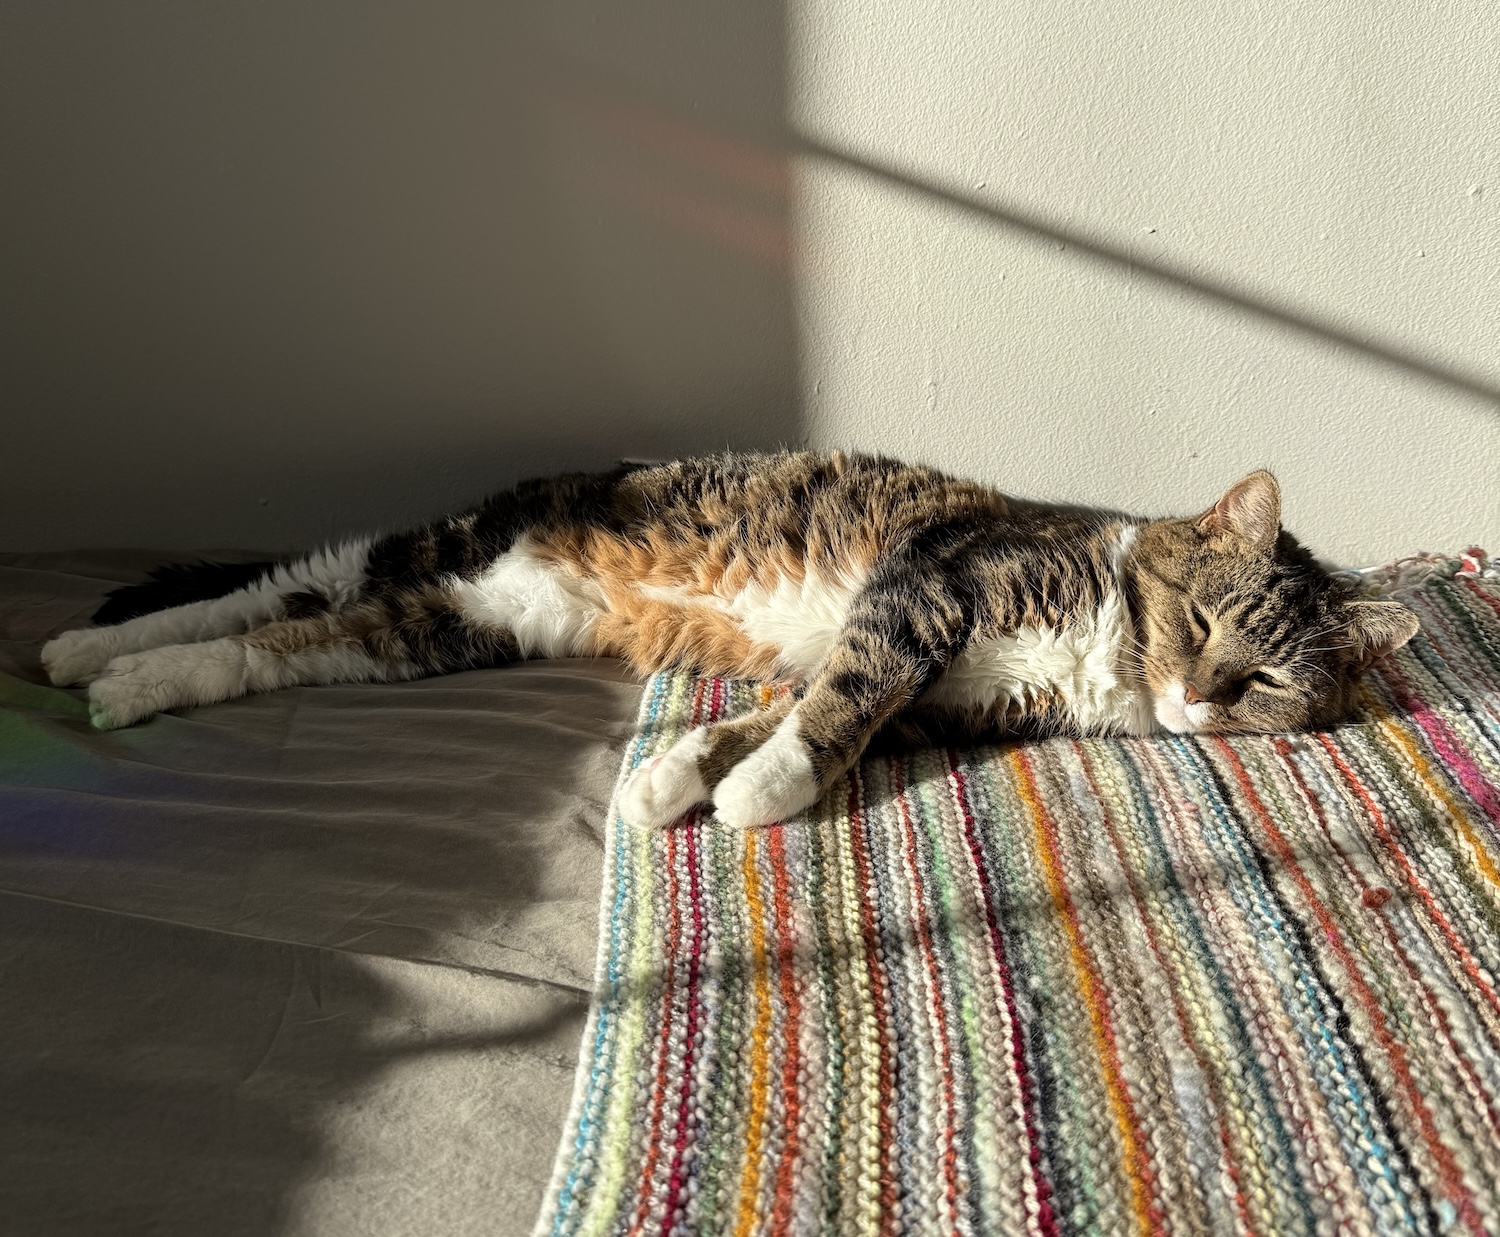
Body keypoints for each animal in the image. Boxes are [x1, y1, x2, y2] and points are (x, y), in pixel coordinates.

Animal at [38, 449, 1416, 827]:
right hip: (450, 548)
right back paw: (92, 649)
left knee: (286, 633)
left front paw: (675, 781)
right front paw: (760, 793)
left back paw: (124, 675)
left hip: (456, 626)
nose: (1201, 699)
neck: (1099, 648)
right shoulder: (927, 590)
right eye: (1201, 622)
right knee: (283, 580)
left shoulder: (941, 697)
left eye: (1268, 678)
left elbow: (804, 708)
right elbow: (836, 708)